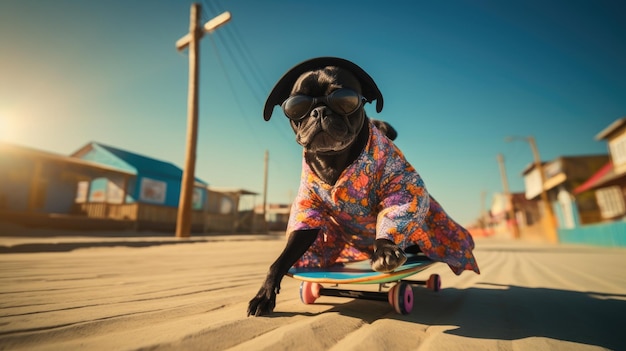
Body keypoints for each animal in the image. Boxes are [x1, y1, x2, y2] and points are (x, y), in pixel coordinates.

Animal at [246, 58, 476, 320]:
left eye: (345, 100)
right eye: (297, 106)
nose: (320, 110)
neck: (333, 160)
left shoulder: (401, 189)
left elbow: (392, 216)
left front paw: (386, 250)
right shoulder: (307, 214)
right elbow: (281, 259)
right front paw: (264, 295)